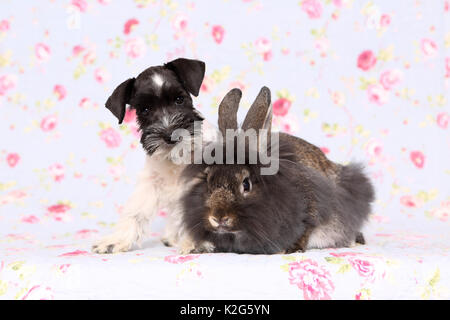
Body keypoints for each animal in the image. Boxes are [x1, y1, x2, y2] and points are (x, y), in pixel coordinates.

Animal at [92, 57, 212, 252]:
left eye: (179, 99)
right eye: (145, 110)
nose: (170, 135)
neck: (175, 161)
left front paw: (196, 241)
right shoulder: (150, 182)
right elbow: (135, 211)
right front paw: (115, 240)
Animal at [178, 86, 374, 254]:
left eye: (246, 184)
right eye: (208, 180)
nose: (218, 218)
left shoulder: (311, 211)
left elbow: (305, 231)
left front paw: (289, 250)